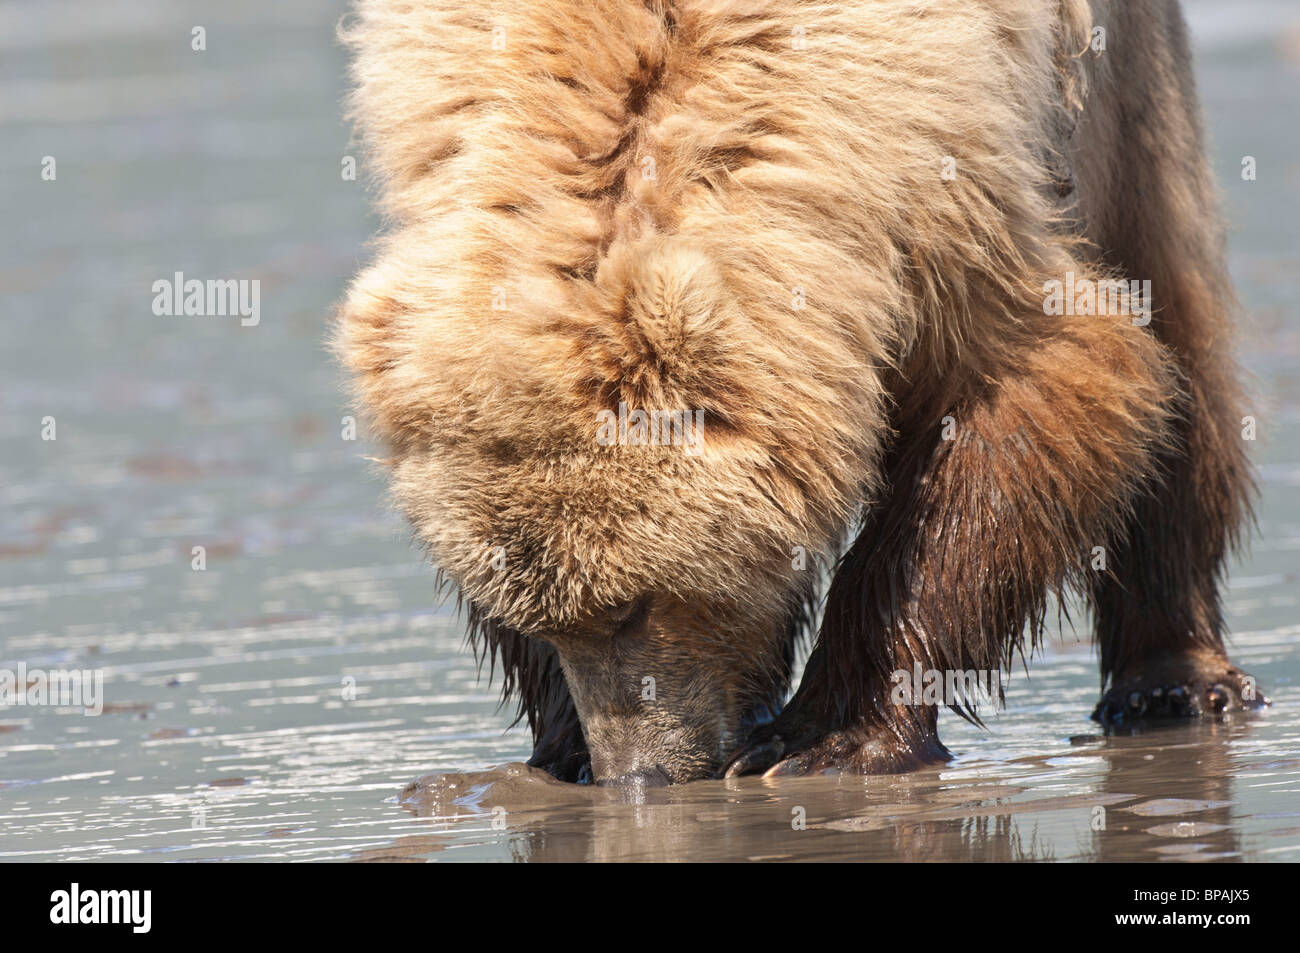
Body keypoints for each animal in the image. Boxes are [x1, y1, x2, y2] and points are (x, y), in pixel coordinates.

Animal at [335, 0, 1267, 786]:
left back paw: (1172, 680)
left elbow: (1034, 389)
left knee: (1172, 306)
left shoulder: (941, 182)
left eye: (642, 604)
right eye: (545, 616)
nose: (640, 772)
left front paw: (827, 737)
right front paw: (563, 743)